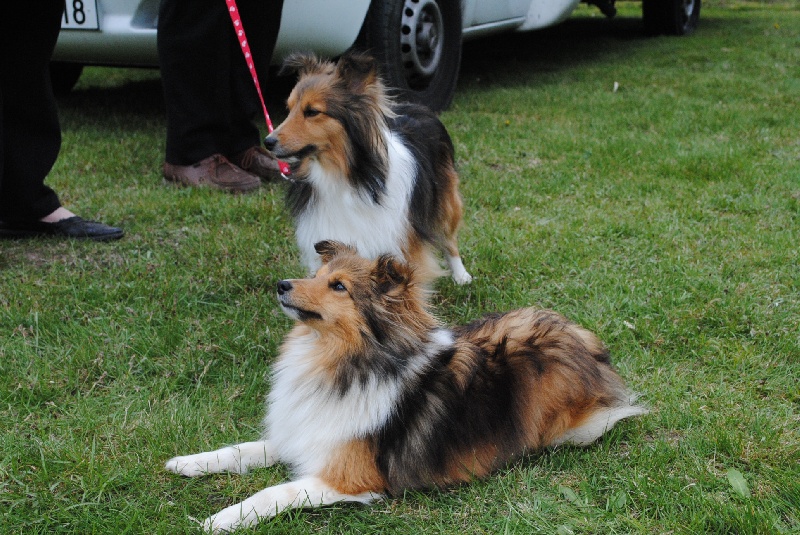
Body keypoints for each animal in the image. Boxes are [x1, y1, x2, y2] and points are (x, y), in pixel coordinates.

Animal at [166, 242, 648, 532]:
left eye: (338, 286)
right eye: (318, 275)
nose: (282, 285)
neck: (340, 360)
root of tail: (589, 345)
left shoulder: (350, 477)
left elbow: (273, 492)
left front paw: (221, 518)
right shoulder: (304, 434)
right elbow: (240, 450)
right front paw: (187, 463)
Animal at [266, 52, 472, 286]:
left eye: (312, 112)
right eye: (289, 109)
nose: (268, 141)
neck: (340, 176)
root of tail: (416, 106)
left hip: (447, 201)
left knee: (449, 239)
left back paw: (461, 275)